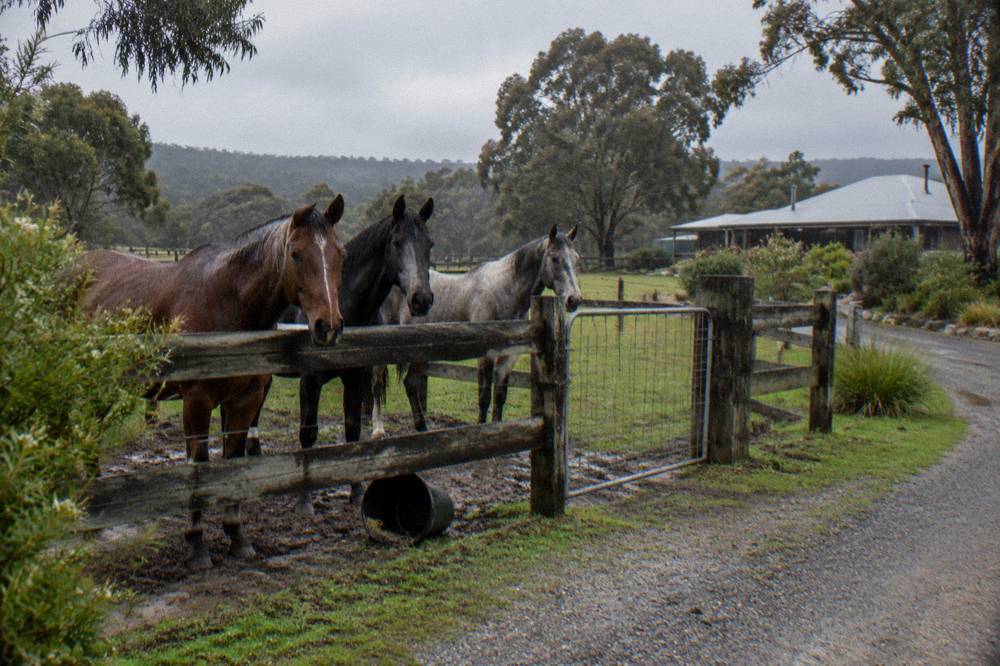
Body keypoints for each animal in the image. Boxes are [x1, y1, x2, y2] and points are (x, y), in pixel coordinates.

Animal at [80, 197, 347, 570]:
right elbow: (200, 464)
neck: (227, 300)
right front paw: (196, 546)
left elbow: (233, 460)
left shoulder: (245, 401)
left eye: (340, 253)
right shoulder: (198, 401)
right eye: (295, 253)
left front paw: (237, 536)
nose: (328, 326)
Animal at [274, 194, 434, 512]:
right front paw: (304, 501)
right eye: (396, 242)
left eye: (430, 243)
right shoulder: (309, 381)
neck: (343, 302)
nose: (421, 299)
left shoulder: (356, 380)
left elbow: (352, 432)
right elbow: (308, 434)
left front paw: (357, 492)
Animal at [371, 224, 582, 437]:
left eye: (576, 258)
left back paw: (422, 428)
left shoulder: (508, 357)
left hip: (421, 354)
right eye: (554, 258)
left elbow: (500, 396)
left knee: (411, 384)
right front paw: (481, 429)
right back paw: (378, 430)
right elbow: (484, 396)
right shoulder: (485, 355)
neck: (503, 292)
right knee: (377, 383)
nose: (574, 299)